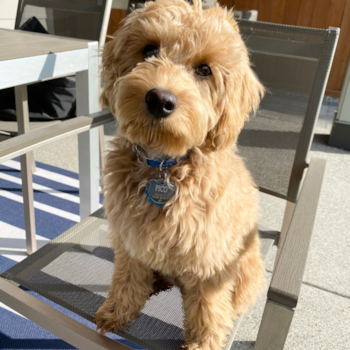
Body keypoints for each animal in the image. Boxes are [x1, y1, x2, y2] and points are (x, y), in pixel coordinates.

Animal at [95, 1, 266, 348]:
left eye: (204, 70)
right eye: (149, 50)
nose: (160, 99)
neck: (165, 166)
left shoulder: (211, 258)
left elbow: (209, 307)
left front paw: (203, 342)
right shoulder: (130, 240)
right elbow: (127, 278)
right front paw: (117, 312)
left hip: (246, 267)